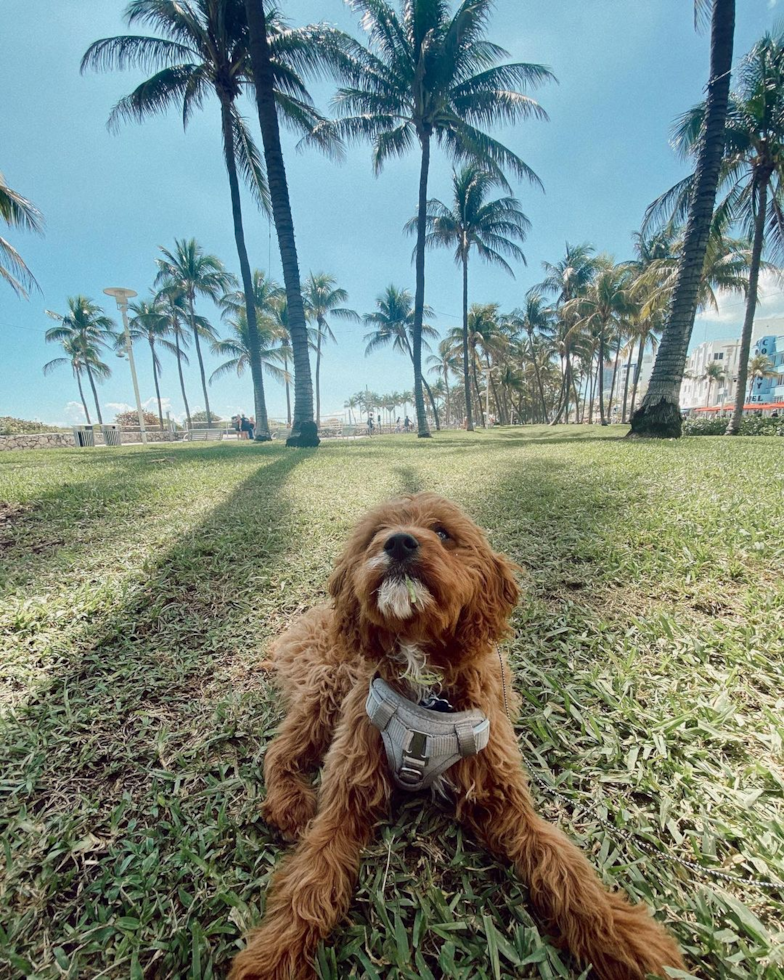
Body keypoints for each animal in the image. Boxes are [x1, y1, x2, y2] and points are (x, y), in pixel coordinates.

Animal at [230, 494, 684, 980]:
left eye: (443, 533)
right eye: (376, 533)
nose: (399, 542)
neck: (426, 692)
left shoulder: (503, 798)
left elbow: (561, 864)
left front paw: (622, 937)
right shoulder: (345, 795)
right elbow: (310, 880)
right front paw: (273, 954)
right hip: (325, 688)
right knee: (279, 749)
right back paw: (288, 801)